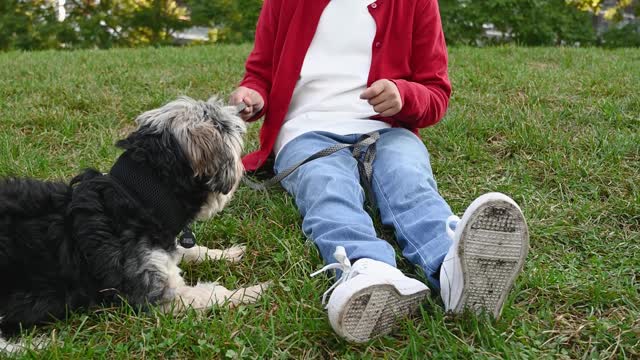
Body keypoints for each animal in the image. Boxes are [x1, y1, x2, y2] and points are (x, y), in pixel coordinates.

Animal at [0, 97, 264, 350]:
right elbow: (211, 293)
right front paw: (252, 292)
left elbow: (191, 251)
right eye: (222, 125)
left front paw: (227, 254)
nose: (243, 108)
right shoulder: (153, 296)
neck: (139, 197)